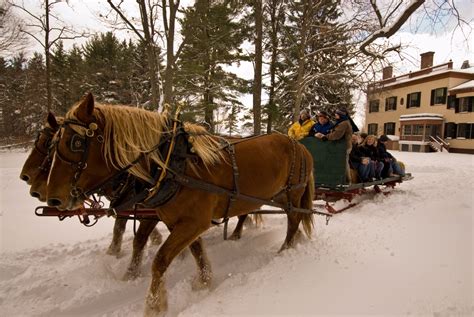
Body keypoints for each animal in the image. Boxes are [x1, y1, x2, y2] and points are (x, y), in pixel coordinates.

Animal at [46, 92, 316, 314]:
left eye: (76, 142)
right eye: (53, 143)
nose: (53, 197)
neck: (172, 164)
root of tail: (300, 146)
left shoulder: (193, 222)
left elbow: (160, 260)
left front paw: (154, 305)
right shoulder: (181, 222)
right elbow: (195, 251)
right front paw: (204, 282)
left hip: (292, 195)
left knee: (294, 220)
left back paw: (285, 249)